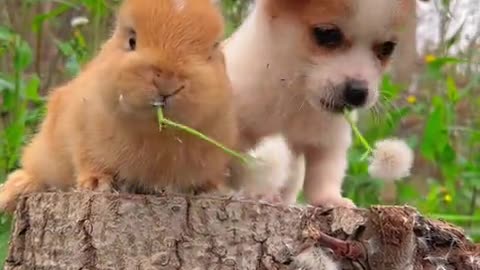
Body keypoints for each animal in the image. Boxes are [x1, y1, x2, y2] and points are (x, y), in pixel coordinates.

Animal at [0, 0, 236, 212]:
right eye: (132, 41)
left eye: (212, 50)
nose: (168, 81)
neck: (155, 130)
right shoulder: (82, 132)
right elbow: (89, 160)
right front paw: (97, 184)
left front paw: (213, 190)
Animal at [225, 0, 416, 207]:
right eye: (327, 33)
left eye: (388, 47)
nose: (358, 92)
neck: (294, 93)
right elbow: (242, 164)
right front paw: (256, 192)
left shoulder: (329, 141)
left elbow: (324, 174)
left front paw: (331, 199)